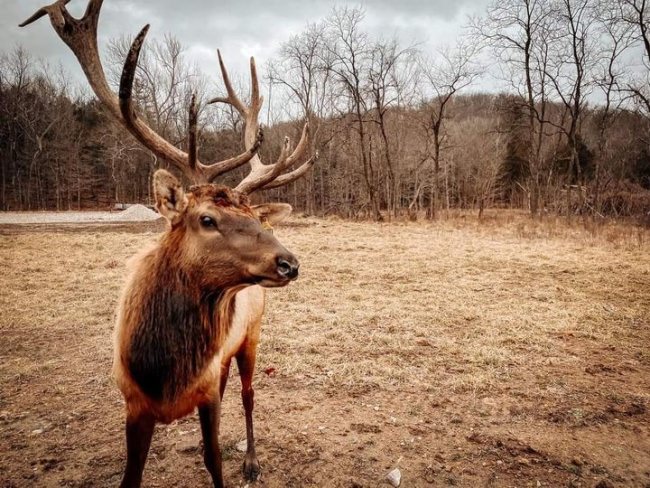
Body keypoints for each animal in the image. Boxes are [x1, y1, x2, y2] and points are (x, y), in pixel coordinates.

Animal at [24, 1, 318, 486]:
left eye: (254, 217)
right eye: (207, 219)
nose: (289, 262)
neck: (163, 374)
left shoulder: (206, 392)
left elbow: (215, 460)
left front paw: (227, 462)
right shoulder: (132, 404)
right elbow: (132, 474)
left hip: (252, 335)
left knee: (249, 393)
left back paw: (252, 460)